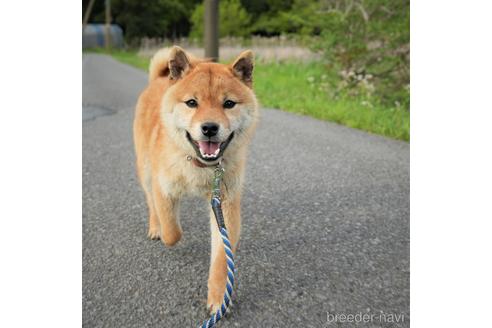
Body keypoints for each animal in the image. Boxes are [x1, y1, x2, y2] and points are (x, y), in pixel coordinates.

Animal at [133, 46, 260, 312]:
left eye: (229, 104)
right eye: (192, 103)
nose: (210, 127)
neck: (201, 167)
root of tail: (159, 80)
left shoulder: (224, 203)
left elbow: (222, 259)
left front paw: (218, 298)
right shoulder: (163, 188)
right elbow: (172, 231)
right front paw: (167, 230)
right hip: (145, 170)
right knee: (150, 202)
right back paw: (155, 226)